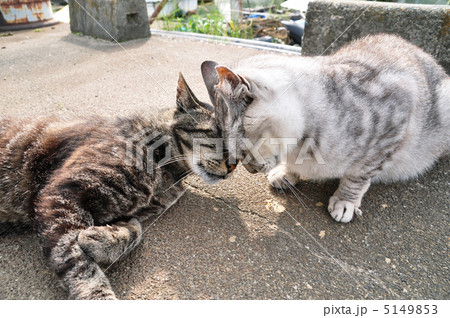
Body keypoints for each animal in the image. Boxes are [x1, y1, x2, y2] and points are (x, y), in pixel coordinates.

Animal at [0, 74, 234, 298]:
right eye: (216, 134)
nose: (232, 165)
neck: (167, 172)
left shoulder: (132, 212)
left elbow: (136, 230)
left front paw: (100, 238)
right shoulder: (62, 194)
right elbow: (77, 261)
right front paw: (98, 295)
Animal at [201, 34, 450, 224]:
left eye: (243, 148)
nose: (250, 170)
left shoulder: (389, 132)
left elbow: (357, 177)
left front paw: (345, 201)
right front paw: (285, 173)